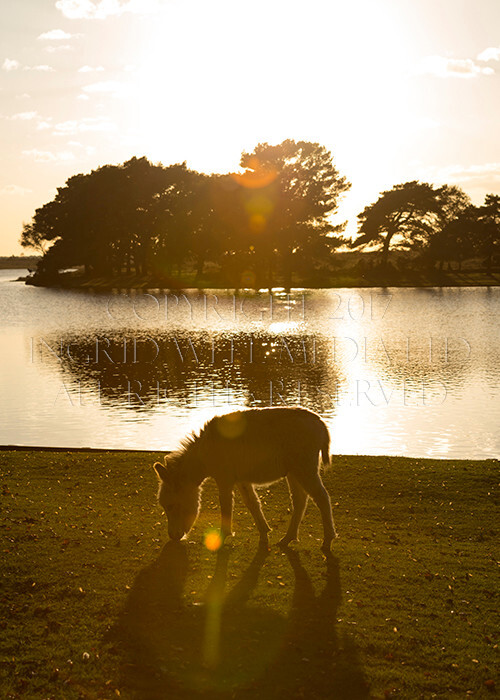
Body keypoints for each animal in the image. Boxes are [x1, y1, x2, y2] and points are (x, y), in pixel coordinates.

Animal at [154, 408, 338, 548]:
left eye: (170, 506)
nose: (173, 537)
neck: (203, 457)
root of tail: (321, 424)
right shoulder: (241, 479)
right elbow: (252, 503)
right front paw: (264, 534)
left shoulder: (225, 478)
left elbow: (226, 506)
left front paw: (223, 536)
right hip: (293, 471)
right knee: (300, 500)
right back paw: (287, 539)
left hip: (305, 468)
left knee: (322, 498)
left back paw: (328, 539)